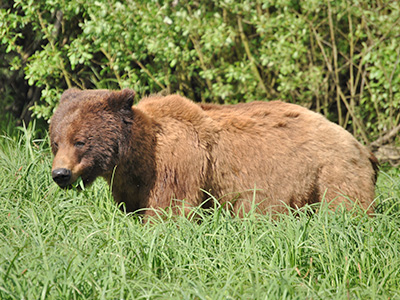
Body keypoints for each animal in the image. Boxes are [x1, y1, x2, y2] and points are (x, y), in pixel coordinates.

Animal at [50, 88, 378, 216]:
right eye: (55, 140)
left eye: (80, 141)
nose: (60, 174)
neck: (136, 156)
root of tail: (360, 144)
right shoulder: (130, 182)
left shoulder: (176, 165)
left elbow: (170, 211)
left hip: (330, 171)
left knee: (346, 205)